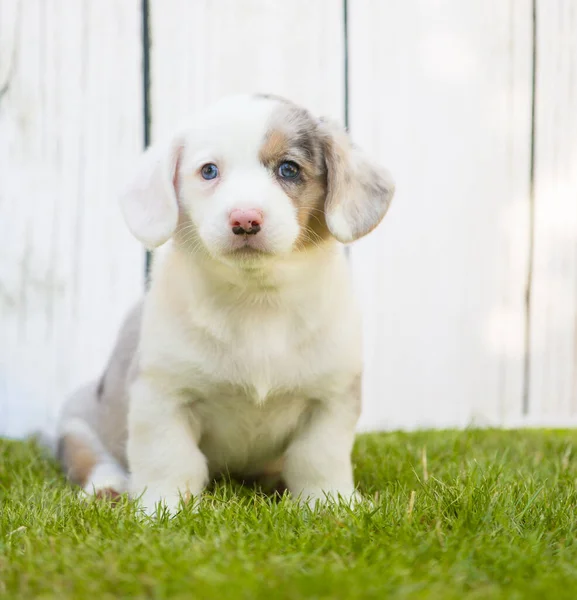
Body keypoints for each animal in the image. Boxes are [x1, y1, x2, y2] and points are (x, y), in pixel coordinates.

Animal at [56, 95, 394, 516]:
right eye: (209, 171)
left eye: (288, 168)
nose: (244, 219)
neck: (257, 298)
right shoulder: (162, 396)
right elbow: (169, 459)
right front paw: (163, 510)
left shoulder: (330, 399)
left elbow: (318, 459)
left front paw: (329, 505)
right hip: (77, 424)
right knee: (93, 458)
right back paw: (109, 486)